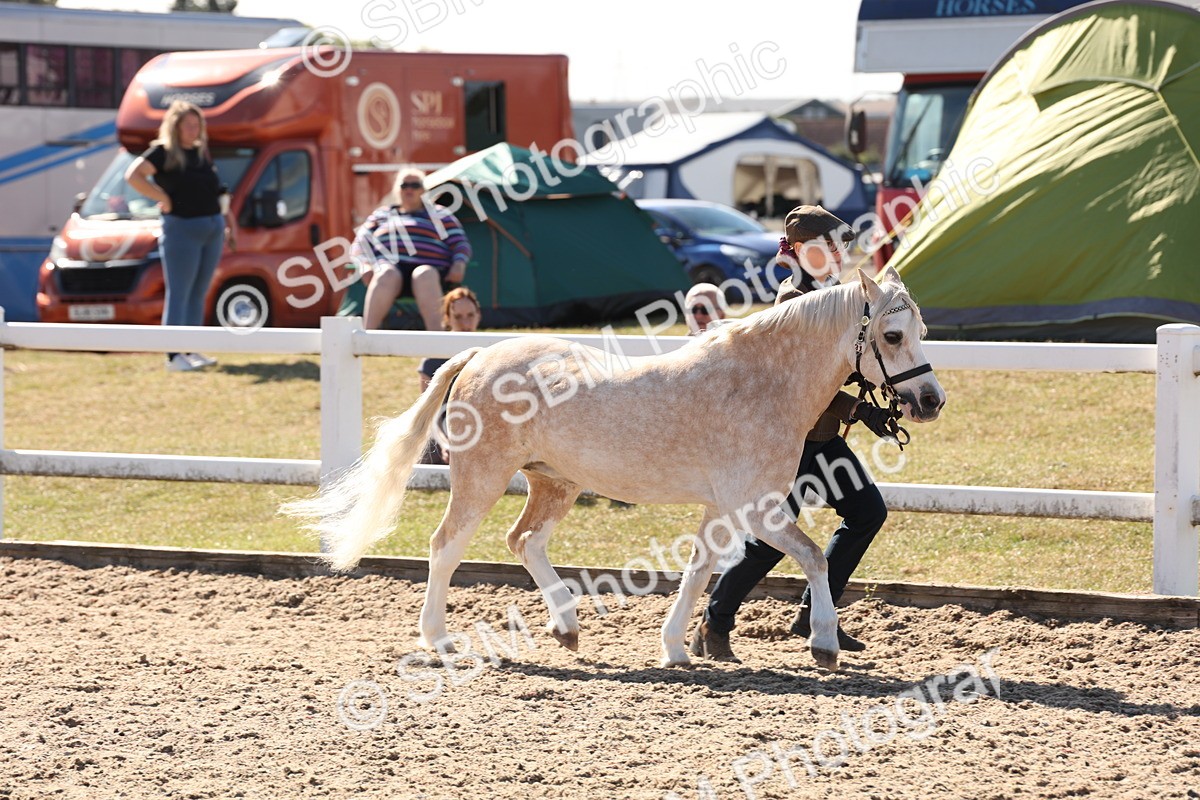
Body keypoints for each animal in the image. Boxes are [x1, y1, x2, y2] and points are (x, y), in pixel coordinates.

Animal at [282, 266, 945, 672]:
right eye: (892, 335)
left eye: (920, 328)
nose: (930, 400)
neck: (761, 382)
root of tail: (478, 355)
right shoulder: (755, 506)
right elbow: (811, 557)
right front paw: (824, 643)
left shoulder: (722, 508)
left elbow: (700, 570)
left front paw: (676, 648)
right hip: (482, 478)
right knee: (446, 546)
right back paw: (440, 638)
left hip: (555, 481)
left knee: (523, 540)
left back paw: (567, 627)